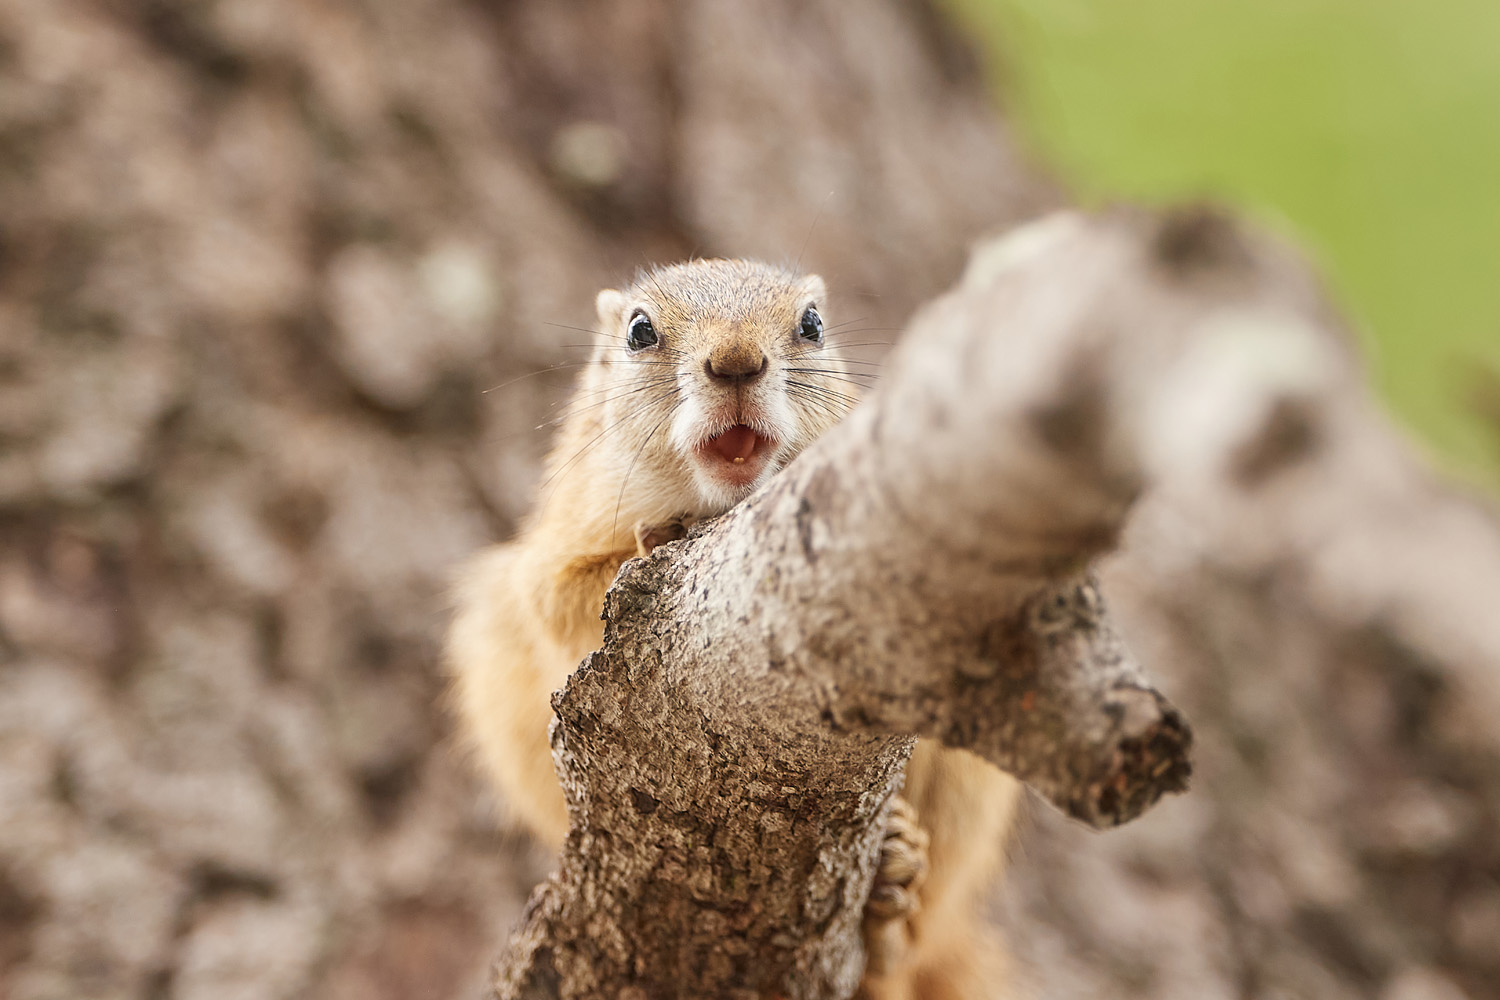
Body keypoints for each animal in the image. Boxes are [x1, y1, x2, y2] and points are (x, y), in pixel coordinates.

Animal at [441, 260, 1020, 1000]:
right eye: (639, 330)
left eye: (812, 325)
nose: (737, 360)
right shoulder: (556, 545)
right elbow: (567, 596)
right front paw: (656, 539)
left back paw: (894, 889)